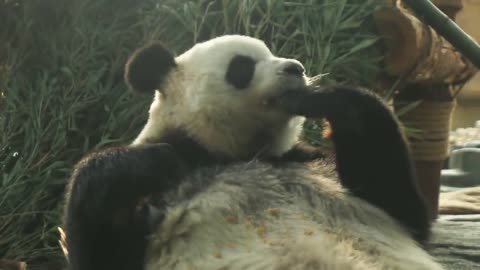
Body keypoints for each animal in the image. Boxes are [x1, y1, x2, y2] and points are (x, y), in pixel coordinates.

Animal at [62, 34, 442, 268]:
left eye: (272, 53)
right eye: (242, 66)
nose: (296, 68)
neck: (238, 152)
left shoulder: (310, 161)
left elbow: (405, 210)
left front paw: (322, 98)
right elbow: (105, 251)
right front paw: (152, 161)